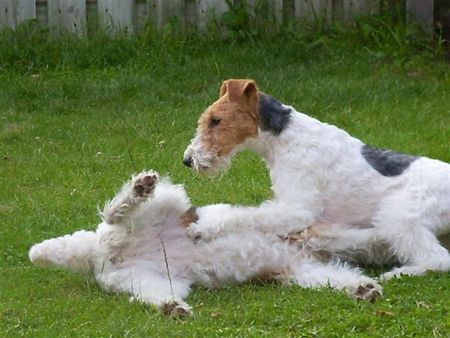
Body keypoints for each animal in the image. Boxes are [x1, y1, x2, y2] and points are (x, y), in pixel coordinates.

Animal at [30, 172, 384, 316]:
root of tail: (97, 255)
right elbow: (245, 219)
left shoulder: (301, 268)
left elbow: (338, 277)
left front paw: (364, 288)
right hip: (170, 204)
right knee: (115, 212)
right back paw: (140, 187)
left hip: (148, 281)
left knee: (154, 295)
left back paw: (173, 309)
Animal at [183, 79, 450, 280]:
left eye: (216, 120)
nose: (188, 160)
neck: (284, 138)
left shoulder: (298, 209)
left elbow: (244, 216)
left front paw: (202, 228)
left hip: (398, 216)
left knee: (438, 259)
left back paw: (397, 273)